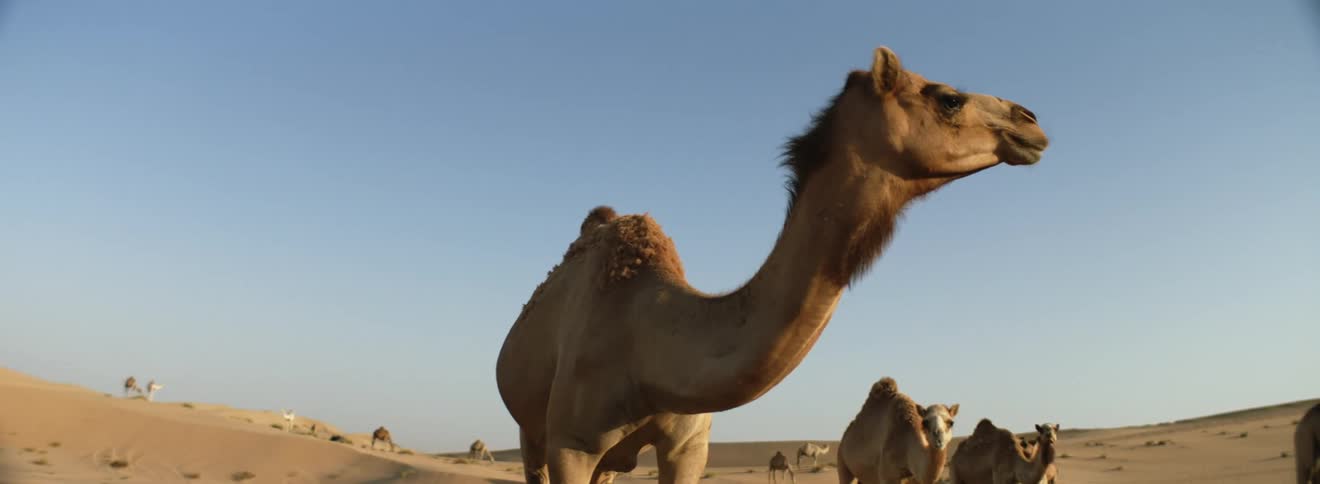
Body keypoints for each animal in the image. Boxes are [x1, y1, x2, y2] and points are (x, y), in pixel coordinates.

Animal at [494, 45, 1050, 484]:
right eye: (948, 98)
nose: (1031, 121)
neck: (648, 346)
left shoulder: (688, 448)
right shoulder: (572, 445)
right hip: (532, 435)